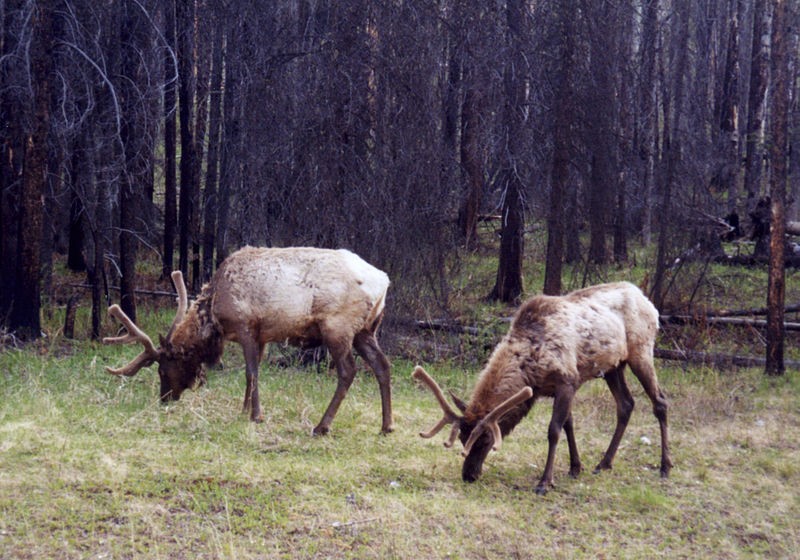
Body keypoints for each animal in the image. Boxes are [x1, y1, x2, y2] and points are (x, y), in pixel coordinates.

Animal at [106, 247, 394, 436]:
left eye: (163, 370)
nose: (165, 399)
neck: (215, 315)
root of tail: (384, 282)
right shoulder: (262, 335)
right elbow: (251, 375)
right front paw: (244, 411)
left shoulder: (246, 326)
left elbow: (251, 372)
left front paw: (256, 416)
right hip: (366, 330)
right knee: (383, 365)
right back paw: (387, 425)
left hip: (338, 326)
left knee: (348, 371)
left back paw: (322, 426)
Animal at [416, 282, 672, 492]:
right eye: (462, 438)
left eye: (487, 440)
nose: (468, 475)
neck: (531, 367)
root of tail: (649, 303)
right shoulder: (557, 387)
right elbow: (569, 424)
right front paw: (575, 467)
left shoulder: (567, 381)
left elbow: (554, 430)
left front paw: (544, 482)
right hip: (613, 365)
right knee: (626, 404)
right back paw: (604, 463)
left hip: (641, 351)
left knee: (660, 401)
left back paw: (665, 466)